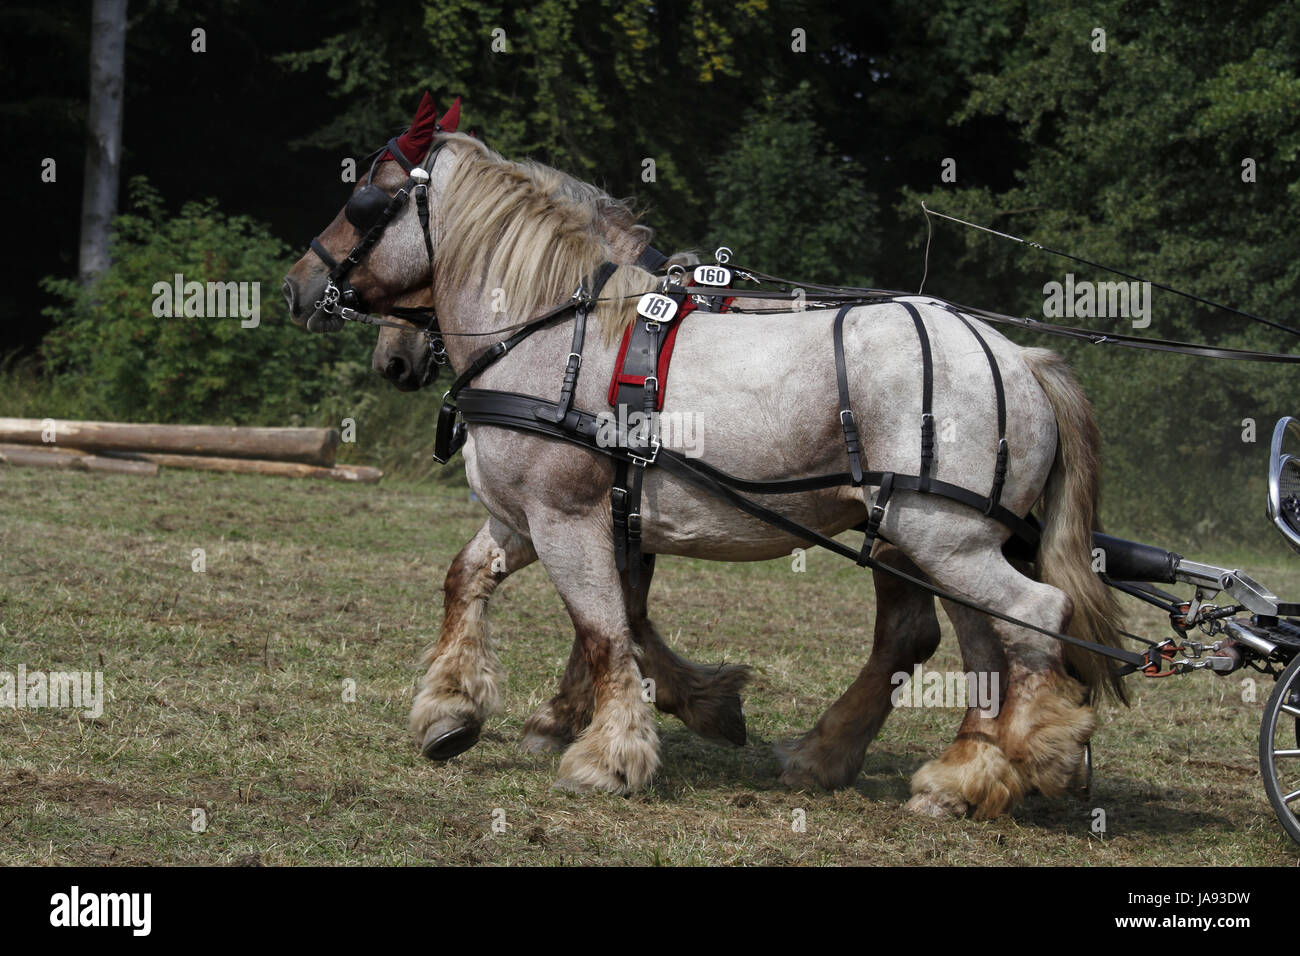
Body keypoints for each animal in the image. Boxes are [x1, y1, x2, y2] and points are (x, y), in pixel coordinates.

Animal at [287, 128, 1128, 822]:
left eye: (365, 201)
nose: (296, 287)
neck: (549, 333)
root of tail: (1018, 357)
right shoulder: (531, 518)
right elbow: (471, 581)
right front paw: (451, 712)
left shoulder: (568, 517)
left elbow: (604, 628)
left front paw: (608, 754)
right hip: (943, 542)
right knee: (981, 643)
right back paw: (957, 776)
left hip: (943, 536)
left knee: (1031, 618)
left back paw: (1034, 752)